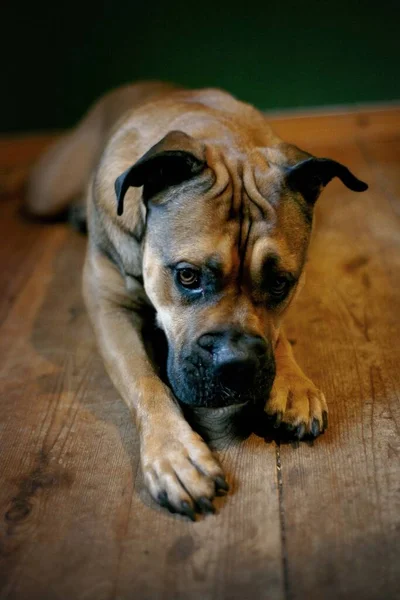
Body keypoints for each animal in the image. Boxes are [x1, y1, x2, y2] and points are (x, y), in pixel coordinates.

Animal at [25, 82, 368, 516]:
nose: (237, 366)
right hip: (46, 189)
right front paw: (174, 454)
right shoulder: (108, 306)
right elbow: (145, 381)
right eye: (187, 276)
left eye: (279, 284)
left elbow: (278, 335)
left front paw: (294, 385)